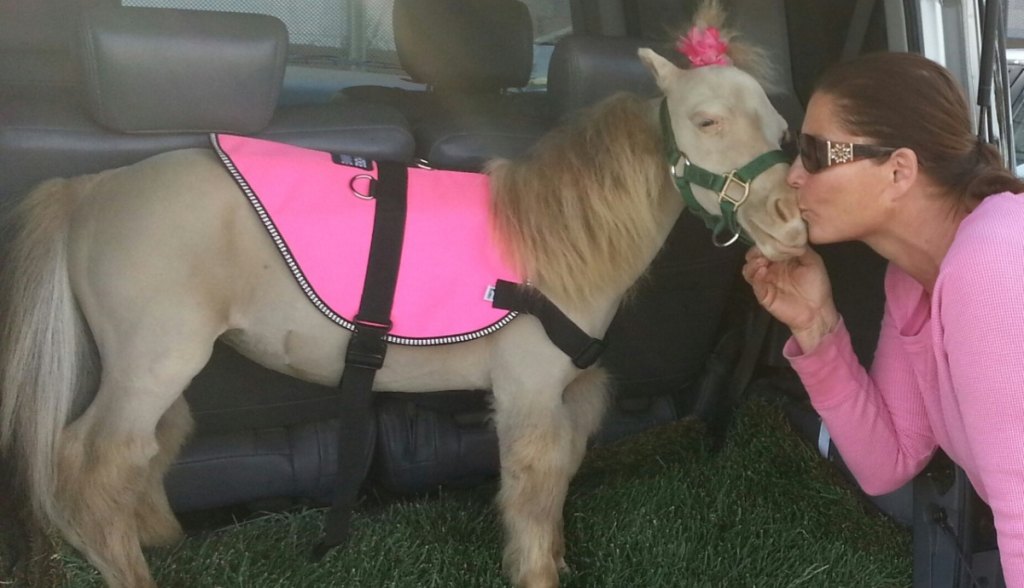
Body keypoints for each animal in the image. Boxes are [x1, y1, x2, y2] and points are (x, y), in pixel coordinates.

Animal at [0, 10, 806, 588]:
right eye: (705, 120)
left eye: (782, 128)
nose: (791, 225)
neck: (553, 237)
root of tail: (93, 187)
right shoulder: (527, 394)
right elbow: (532, 491)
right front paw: (537, 572)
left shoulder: (569, 392)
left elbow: (556, 487)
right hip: (153, 359)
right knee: (92, 461)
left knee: (147, 448)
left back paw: (158, 540)